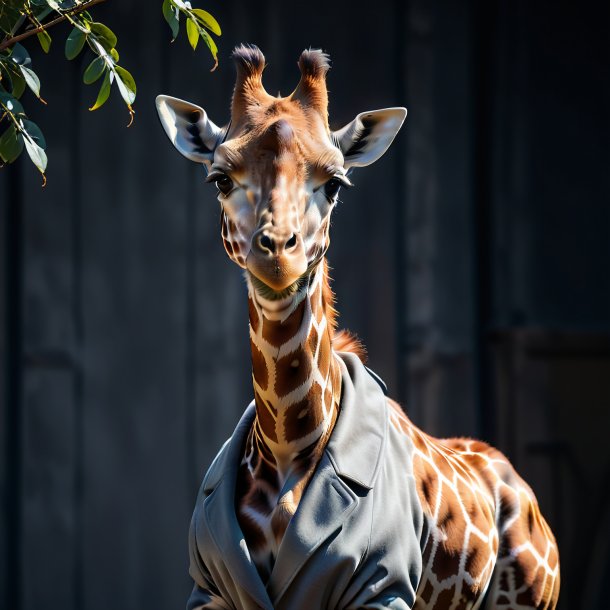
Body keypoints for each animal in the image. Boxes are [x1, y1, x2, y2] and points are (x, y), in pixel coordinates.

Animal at [154, 44, 560, 608]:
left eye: (335, 183)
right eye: (220, 178)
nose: (278, 254)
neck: (285, 449)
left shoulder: (381, 587)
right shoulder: (211, 588)